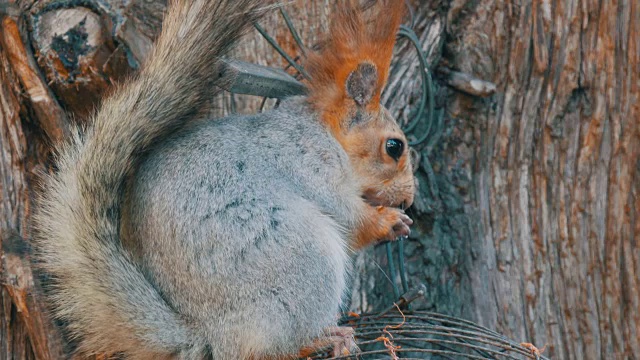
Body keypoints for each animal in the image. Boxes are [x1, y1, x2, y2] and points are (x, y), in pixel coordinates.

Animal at [32, 0, 416, 358]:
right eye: (394, 146)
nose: (410, 199)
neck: (327, 135)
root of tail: (208, 335)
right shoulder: (310, 165)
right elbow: (349, 218)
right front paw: (389, 221)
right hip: (303, 258)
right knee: (266, 350)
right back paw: (323, 339)